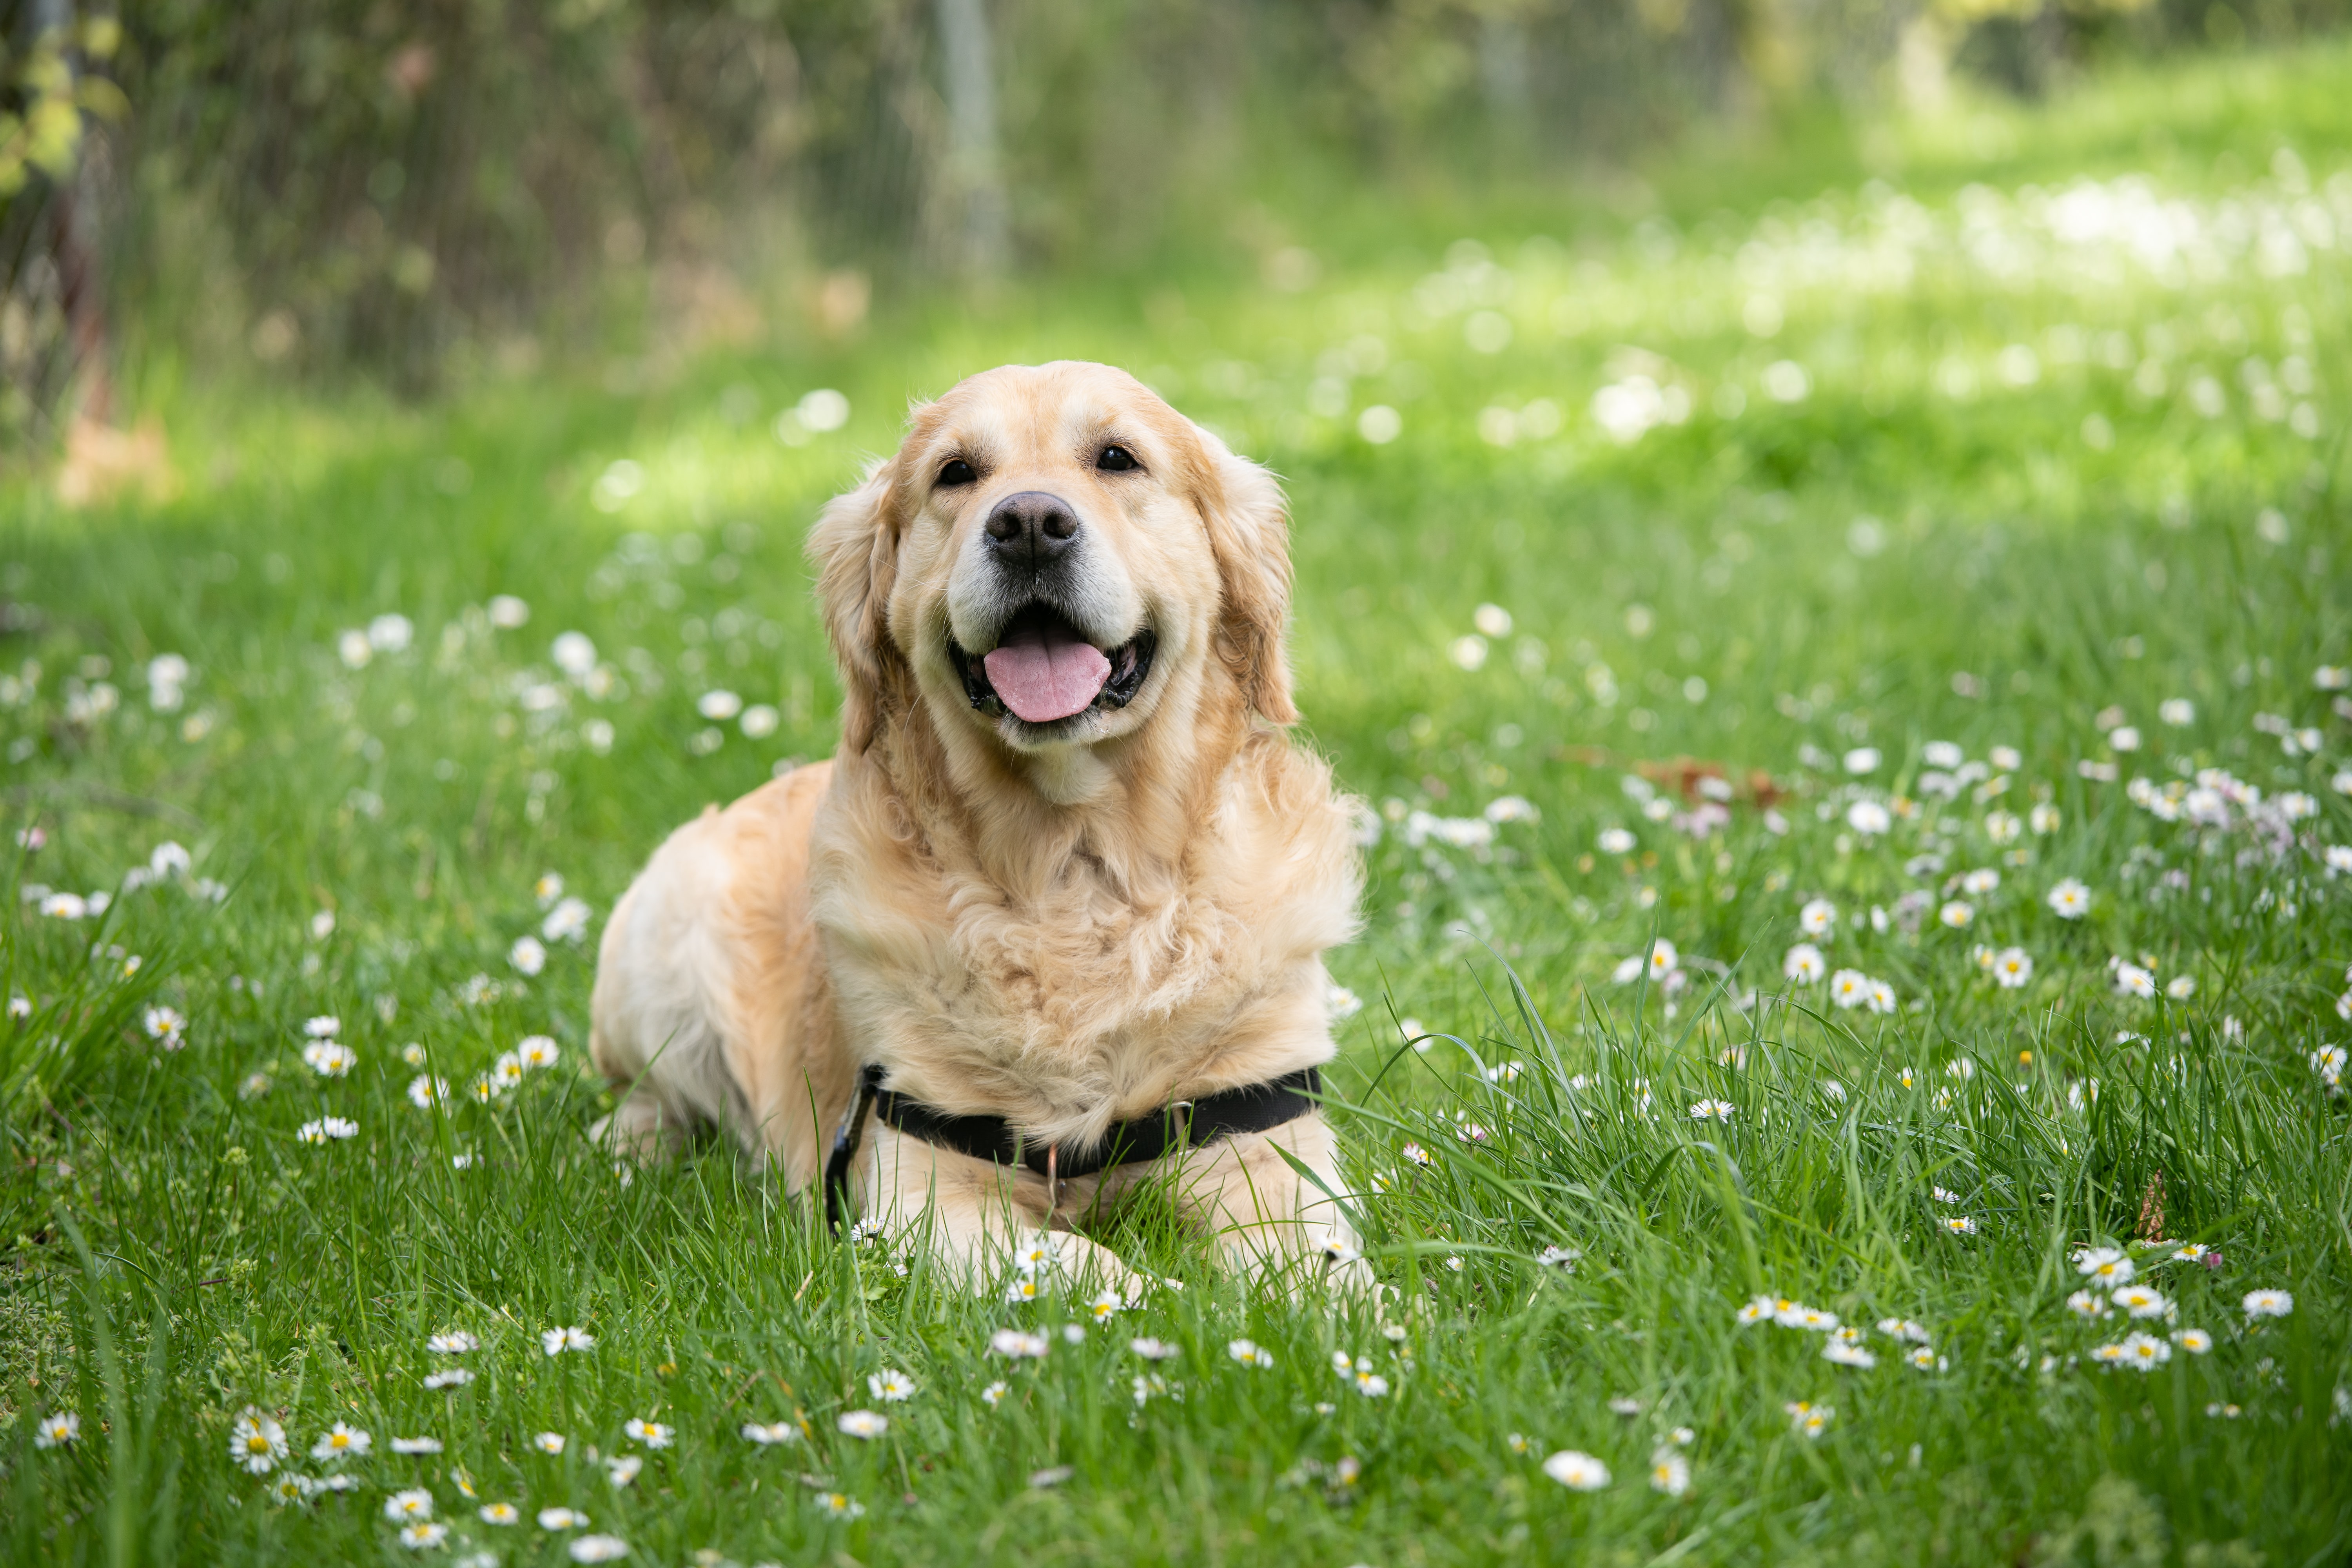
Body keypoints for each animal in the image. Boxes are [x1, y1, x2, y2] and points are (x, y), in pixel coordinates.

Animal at [586, 362, 1364, 1298]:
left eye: (1118, 458)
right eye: (956, 473)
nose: (1029, 524)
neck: (1075, 867)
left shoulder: (1267, 1143)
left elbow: (1317, 1270)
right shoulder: (919, 1191)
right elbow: (1090, 1269)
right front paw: (1171, 1305)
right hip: (661, 943)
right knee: (645, 1095)